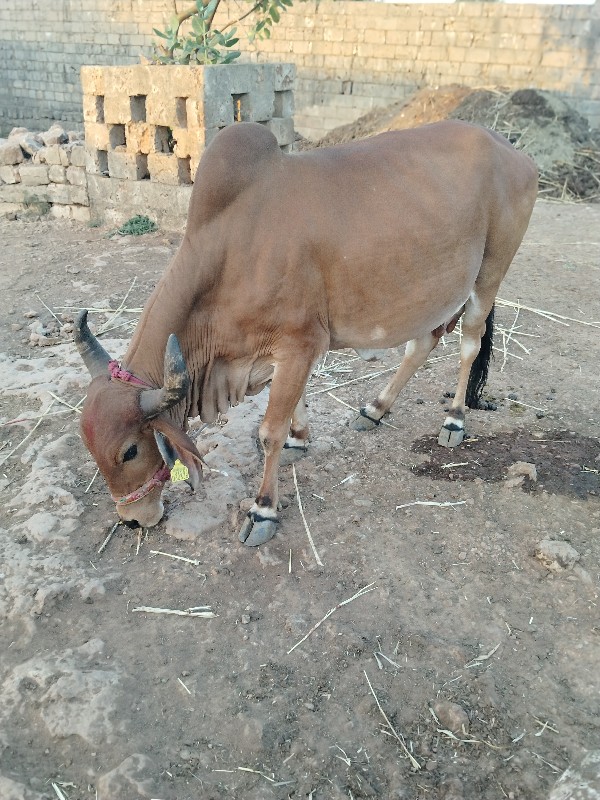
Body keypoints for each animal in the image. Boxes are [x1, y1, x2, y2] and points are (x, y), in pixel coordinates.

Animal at [75, 120, 540, 544]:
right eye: (88, 447)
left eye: (130, 450)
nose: (132, 519)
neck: (232, 247)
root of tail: (511, 149)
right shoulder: (282, 353)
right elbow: (292, 407)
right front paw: (300, 438)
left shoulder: (301, 343)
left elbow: (269, 431)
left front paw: (263, 509)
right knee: (422, 342)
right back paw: (375, 409)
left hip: (489, 275)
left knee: (469, 344)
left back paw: (455, 420)